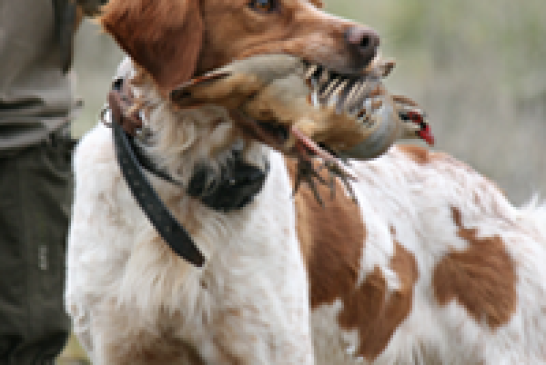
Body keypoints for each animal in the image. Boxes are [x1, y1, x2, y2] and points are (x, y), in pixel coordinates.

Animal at [66, 0, 544, 362]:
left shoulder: (271, 349)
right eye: (262, 3)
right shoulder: (121, 346)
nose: (370, 41)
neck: (188, 186)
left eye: (318, 2)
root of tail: (505, 206)